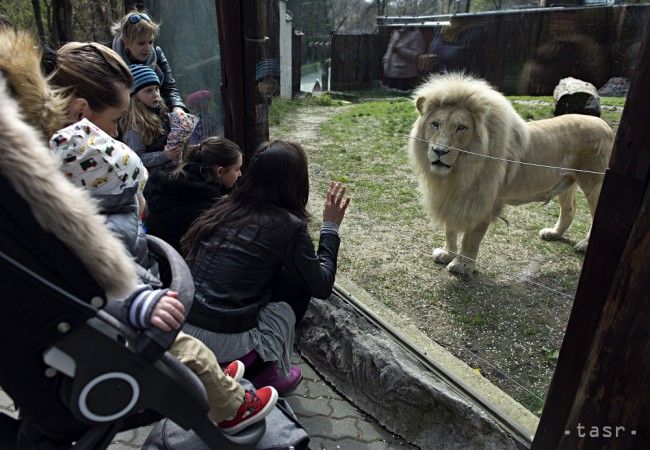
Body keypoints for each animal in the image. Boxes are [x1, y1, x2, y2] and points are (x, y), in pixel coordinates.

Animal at [410, 73, 612, 274]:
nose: (439, 151)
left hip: (595, 184)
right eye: (435, 124)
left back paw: (584, 244)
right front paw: (447, 253)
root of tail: (606, 126)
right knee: (569, 210)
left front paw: (463, 265)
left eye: (461, 127)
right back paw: (553, 233)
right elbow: (450, 230)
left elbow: (470, 238)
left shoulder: (484, 202)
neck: (458, 172)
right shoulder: (451, 197)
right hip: (567, 181)